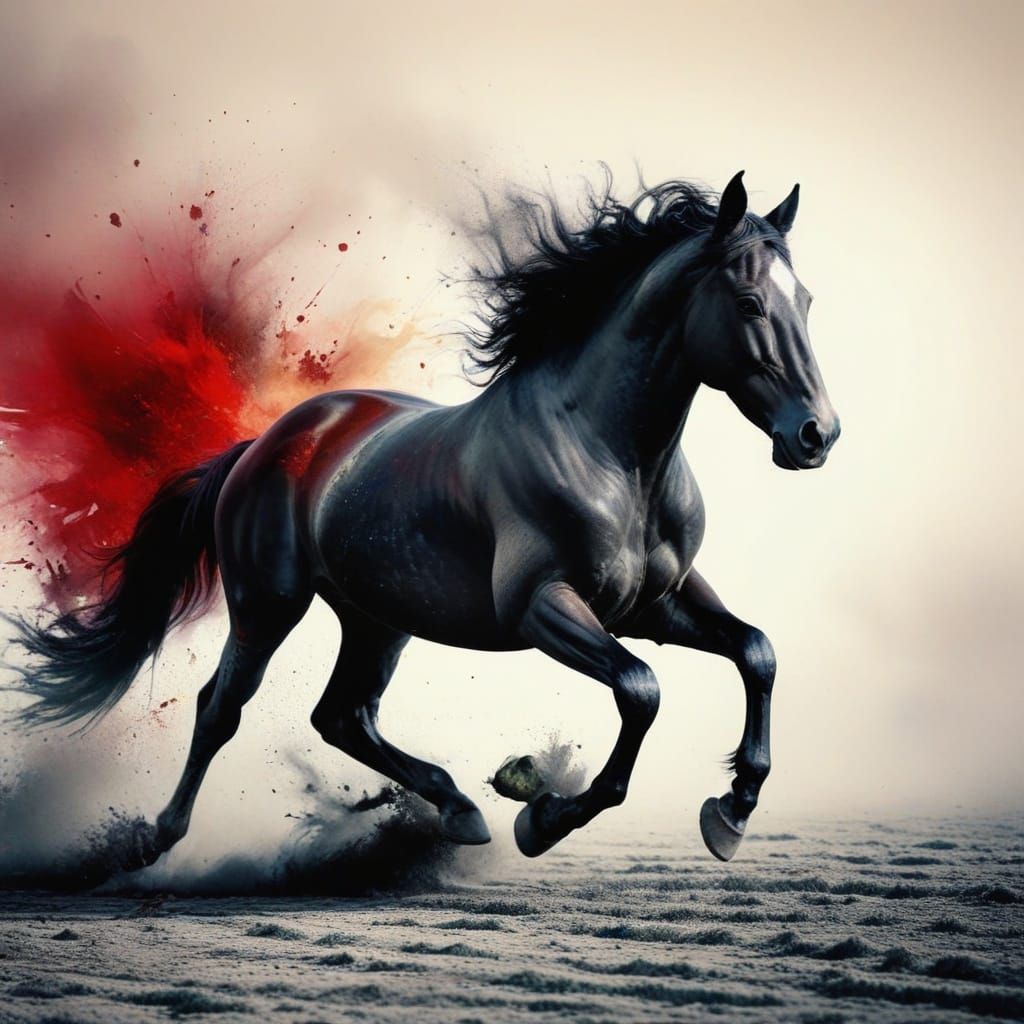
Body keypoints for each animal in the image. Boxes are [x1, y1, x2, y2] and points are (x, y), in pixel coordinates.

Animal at [10, 171, 840, 868]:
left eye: (805, 302)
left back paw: (461, 809)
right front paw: (543, 817)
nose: (816, 435)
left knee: (343, 716)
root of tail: (263, 444)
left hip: (379, 619)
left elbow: (757, 652)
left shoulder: (656, 606)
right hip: (267, 603)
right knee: (222, 707)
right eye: (749, 303)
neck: (614, 456)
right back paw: (155, 839)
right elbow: (641, 689)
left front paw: (731, 810)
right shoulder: (544, 607)